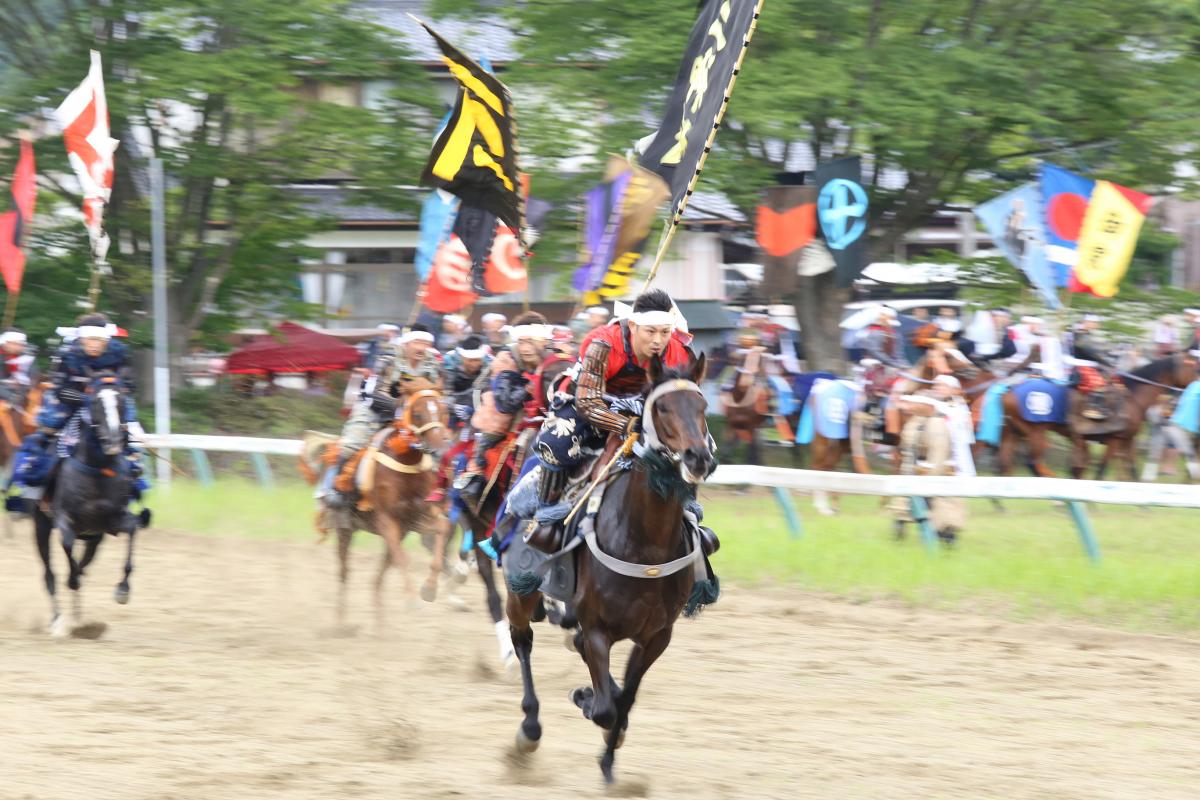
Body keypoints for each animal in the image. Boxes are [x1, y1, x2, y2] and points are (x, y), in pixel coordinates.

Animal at [35, 374, 146, 638]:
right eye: (95, 402)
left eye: (121, 400)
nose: (113, 440)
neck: (98, 470)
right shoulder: (64, 519)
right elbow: (67, 548)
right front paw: (73, 580)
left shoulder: (113, 521)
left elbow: (133, 529)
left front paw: (123, 590)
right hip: (40, 524)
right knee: (49, 574)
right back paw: (58, 621)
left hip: (94, 537)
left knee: (84, 562)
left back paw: (78, 616)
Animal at [504, 352, 715, 786]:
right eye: (663, 408)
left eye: (702, 406)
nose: (698, 457)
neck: (645, 545)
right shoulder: (598, 625)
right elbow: (604, 708)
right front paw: (586, 701)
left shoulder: (656, 635)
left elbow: (627, 699)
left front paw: (608, 761)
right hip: (522, 587)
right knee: (522, 640)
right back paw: (529, 728)